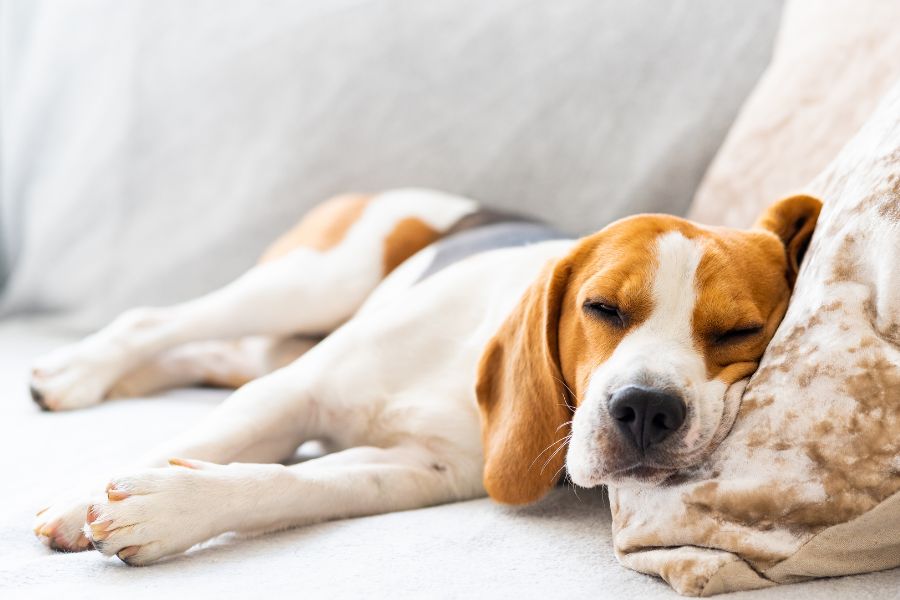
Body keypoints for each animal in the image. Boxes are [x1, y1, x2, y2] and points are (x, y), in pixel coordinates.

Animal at [28, 189, 820, 568]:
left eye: (739, 333)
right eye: (602, 308)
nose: (647, 410)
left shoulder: (420, 470)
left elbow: (291, 481)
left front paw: (170, 507)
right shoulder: (290, 394)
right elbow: (202, 442)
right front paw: (77, 501)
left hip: (276, 337)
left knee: (200, 355)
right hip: (313, 282)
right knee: (153, 321)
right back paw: (75, 372)